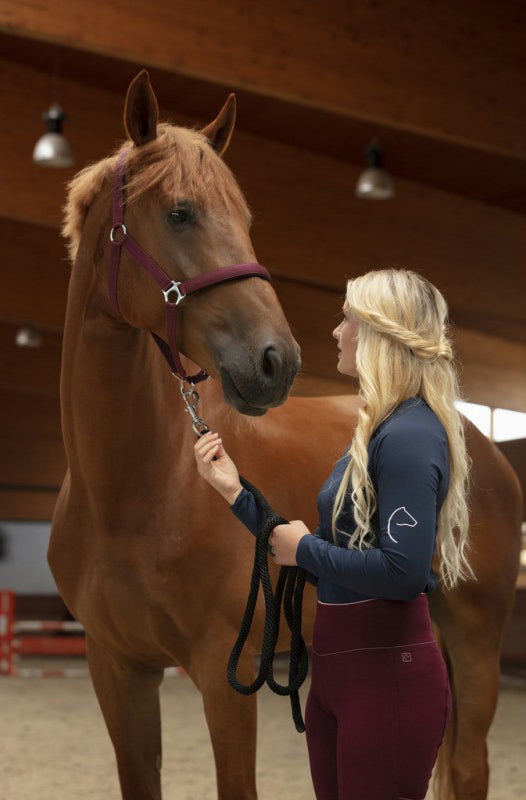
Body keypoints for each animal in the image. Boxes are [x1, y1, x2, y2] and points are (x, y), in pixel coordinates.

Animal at [49, 70, 523, 800]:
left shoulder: (226, 670)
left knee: (469, 766)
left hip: (474, 636)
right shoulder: (117, 669)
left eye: (246, 221)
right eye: (180, 212)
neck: (131, 496)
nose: (277, 361)